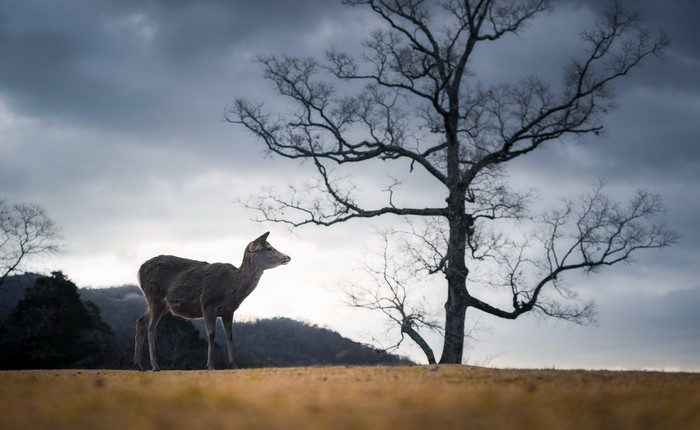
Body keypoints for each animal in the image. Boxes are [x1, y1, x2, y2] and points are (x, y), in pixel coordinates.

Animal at [134, 232, 291, 371]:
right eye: (269, 248)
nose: (288, 257)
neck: (231, 288)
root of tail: (139, 270)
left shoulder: (228, 311)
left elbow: (230, 335)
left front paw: (234, 365)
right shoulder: (208, 304)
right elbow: (211, 334)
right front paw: (210, 365)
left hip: (162, 305)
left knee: (141, 321)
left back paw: (139, 366)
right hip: (155, 296)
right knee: (151, 327)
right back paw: (155, 366)